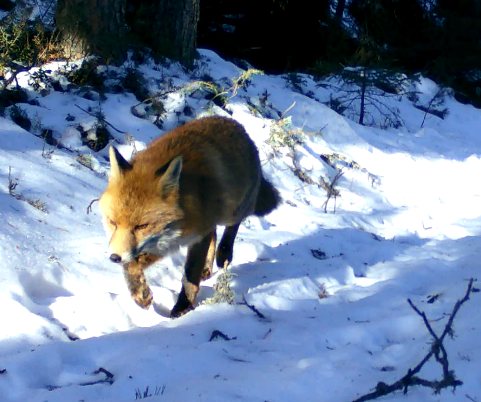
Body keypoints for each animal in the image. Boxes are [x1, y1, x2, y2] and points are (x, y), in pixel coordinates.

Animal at [98, 116, 278, 318]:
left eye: (141, 226)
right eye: (112, 222)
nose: (114, 257)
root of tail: (235, 123)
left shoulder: (197, 235)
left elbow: (190, 274)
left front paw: (183, 306)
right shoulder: (163, 243)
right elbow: (131, 265)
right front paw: (140, 293)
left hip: (232, 212)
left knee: (231, 227)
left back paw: (224, 253)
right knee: (214, 233)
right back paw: (207, 269)